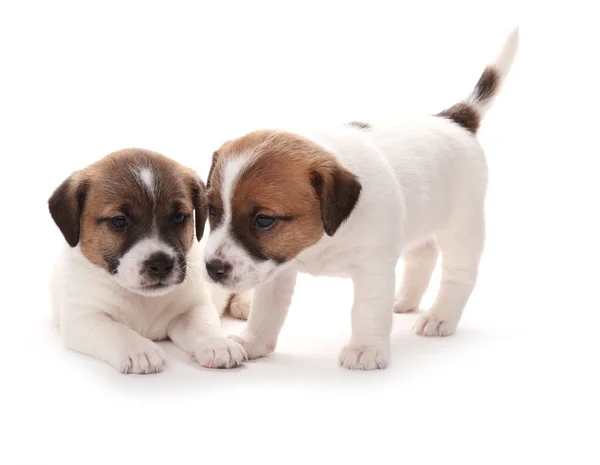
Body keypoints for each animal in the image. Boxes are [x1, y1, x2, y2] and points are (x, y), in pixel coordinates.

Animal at [48, 149, 251, 374]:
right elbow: (117, 330)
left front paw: (217, 344)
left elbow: (204, 326)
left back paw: (244, 303)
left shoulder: (193, 307)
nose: (161, 264)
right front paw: (139, 349)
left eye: (179, 217)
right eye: (118, 221)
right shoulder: (82, 317)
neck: (143, 299)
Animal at [203, 29, 520, 370]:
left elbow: (367, 310)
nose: (211, 268)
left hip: (462, 225)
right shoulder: (279, 267)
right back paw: (405, 300)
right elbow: (267, 309)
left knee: (459, 275)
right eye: (213, 211)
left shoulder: (373, 267)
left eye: (263, 220)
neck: (323, 237)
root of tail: (453, 119)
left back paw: (440, 317)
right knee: (422, 255)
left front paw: (365, 349)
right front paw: (253, 342)